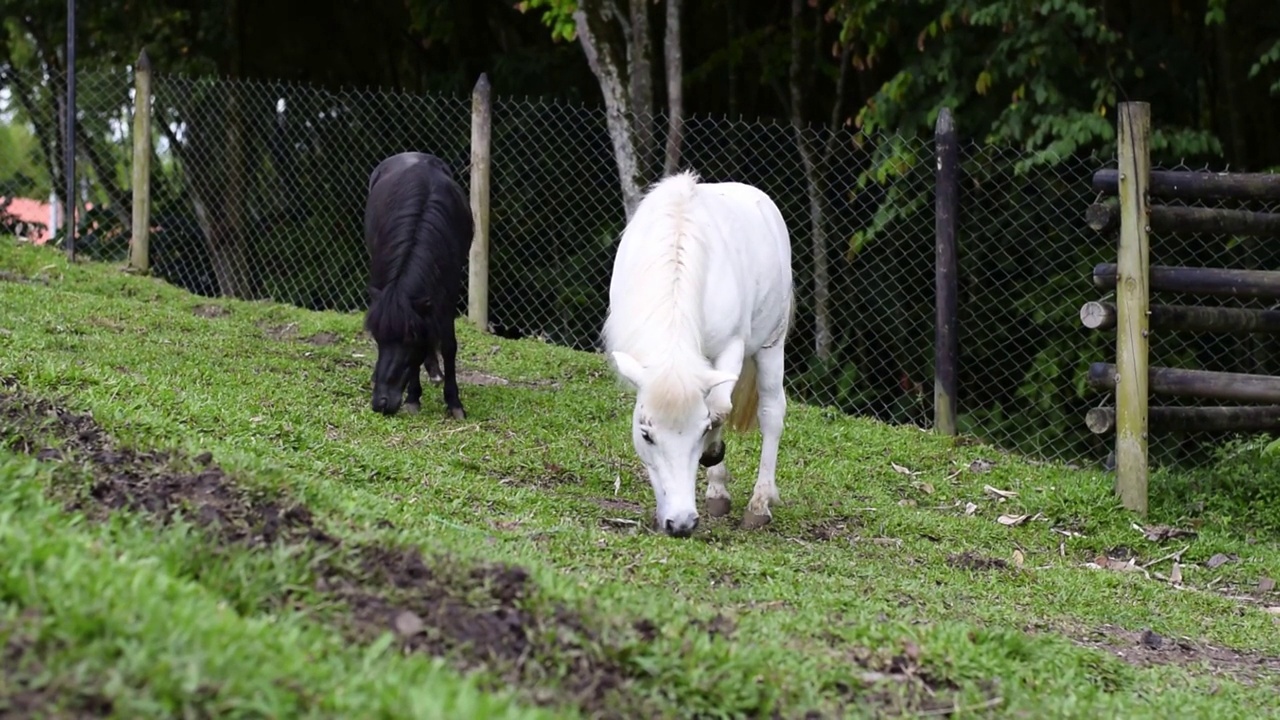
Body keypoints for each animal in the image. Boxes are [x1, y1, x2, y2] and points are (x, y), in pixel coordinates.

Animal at [363, 152, 473, 420]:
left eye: (409, 338)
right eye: (377, 338)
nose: (381, 403)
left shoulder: (447, 295)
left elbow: (448, 345)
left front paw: (454, 403)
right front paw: (413, 398)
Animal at [599, 170, 788, 535]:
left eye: (698, 433)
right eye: (646, 435)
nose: (681, 523)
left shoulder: (730, 348)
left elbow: (719, 408)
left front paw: (712, 452)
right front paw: (715, 485)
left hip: (773, 343)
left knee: (772, 412)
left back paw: (759, 503)